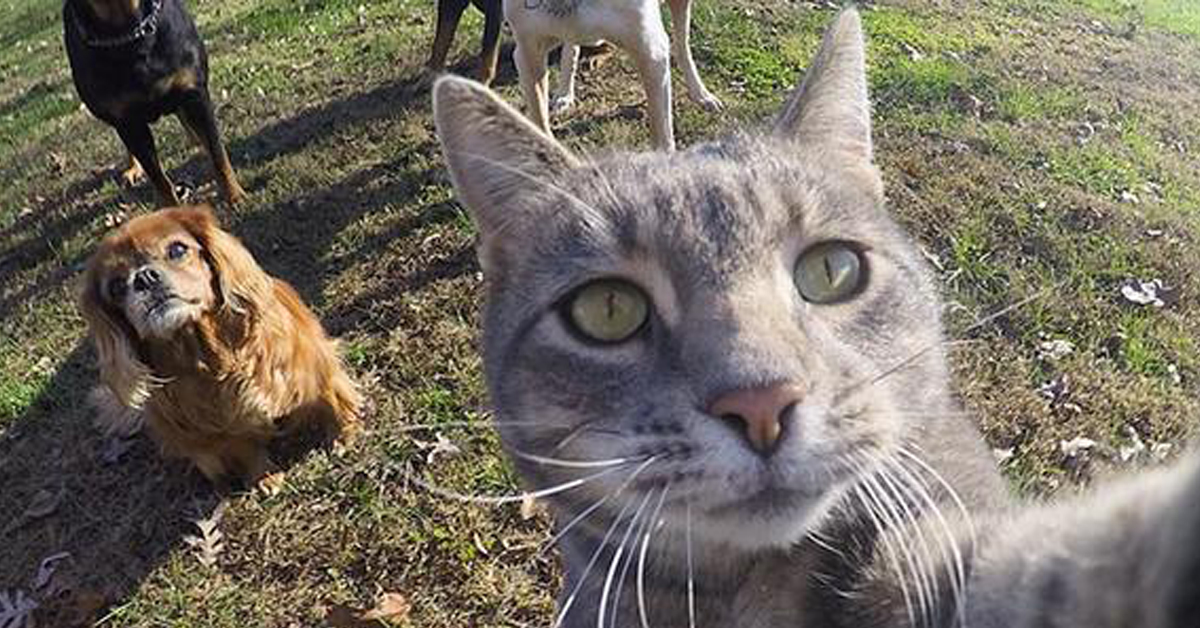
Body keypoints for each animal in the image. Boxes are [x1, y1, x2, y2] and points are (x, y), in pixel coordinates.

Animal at [64, 0, 247, 205]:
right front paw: (173, 207)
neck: (128, 32)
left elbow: (218, 154)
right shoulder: (128, 122)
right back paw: (133, 168)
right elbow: (159, 178)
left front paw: (235, 196)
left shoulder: (194, 94)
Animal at [80, 206, 360, 492]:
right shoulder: (217, 429)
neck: (206, 353)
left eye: (177, 249)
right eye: (115, 287)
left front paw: (343, 435)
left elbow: (330, 398)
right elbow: (245, 449)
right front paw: (264, 476)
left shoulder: (312, 366)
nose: (145, 277)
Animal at [504, 0, 720, 151]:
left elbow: (662, 136)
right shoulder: (527, 53)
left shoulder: (652, 53)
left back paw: (701, 95)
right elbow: (539, 122)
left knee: (682, 45)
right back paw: (564, 94)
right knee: (570, 45)